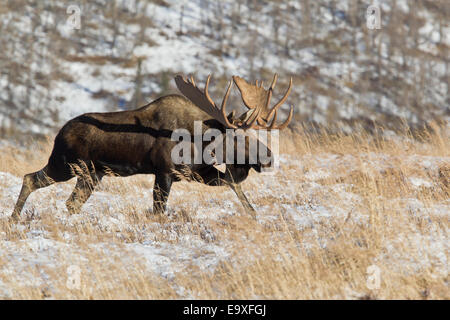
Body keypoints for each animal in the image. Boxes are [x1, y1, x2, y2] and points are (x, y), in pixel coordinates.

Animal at [10, 74, 294, 221]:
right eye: (237, 138)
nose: (268, 158)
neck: (201, 142)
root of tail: (59, 133)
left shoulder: (199, 172)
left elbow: (234, 186)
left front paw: (252, 213)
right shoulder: (165, 171)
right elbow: (158, 211)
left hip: (92, 174)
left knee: (71, 203)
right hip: (66, 165)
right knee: (30, 179)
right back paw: (13, 218)